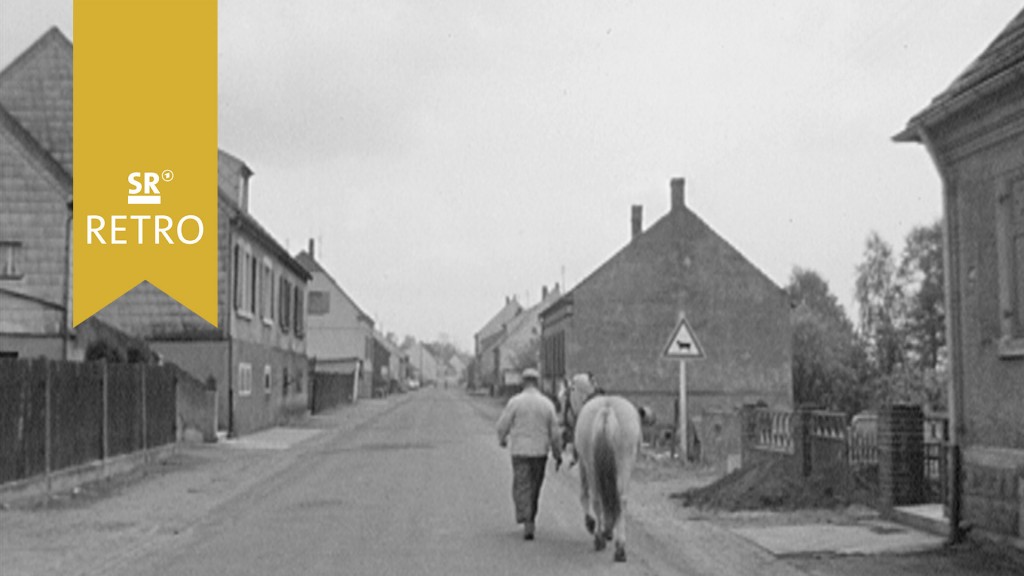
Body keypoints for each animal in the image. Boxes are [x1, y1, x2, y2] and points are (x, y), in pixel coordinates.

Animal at [565, 373, 643, 561]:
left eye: (568, 391)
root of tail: (607, 411)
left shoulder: (583, 465)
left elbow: (584, 494)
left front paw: (591, 524)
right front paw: (609, 529)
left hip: (592, 467)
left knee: (597, 498)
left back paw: (599, 538)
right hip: (623, 465)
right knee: (621, 499)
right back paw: (620, 548)